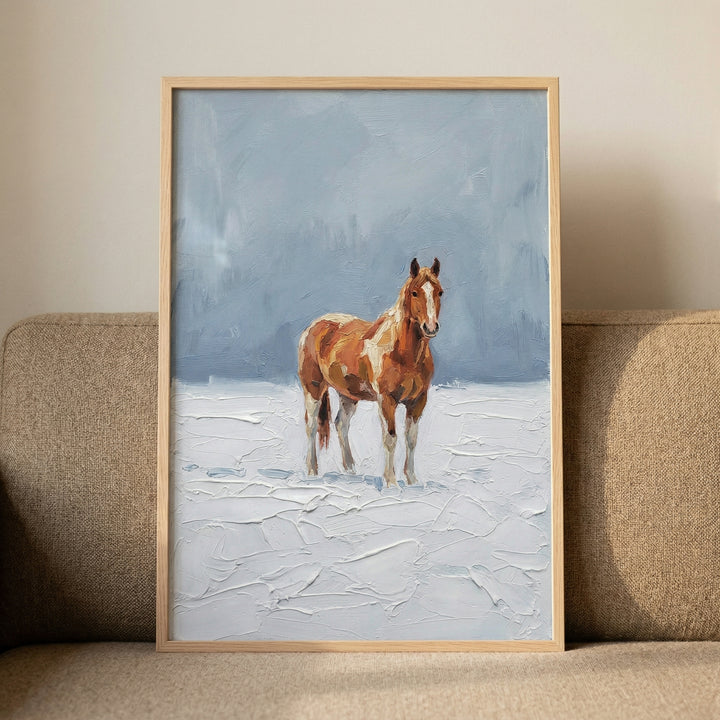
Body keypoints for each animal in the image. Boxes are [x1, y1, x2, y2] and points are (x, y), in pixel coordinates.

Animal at [298, 257, 442, 487]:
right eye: (414, 292)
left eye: (440, 292)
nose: (430, 327)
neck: (402, 352)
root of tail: (315, 325)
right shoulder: (386, 400)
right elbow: (390, 438)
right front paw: (391, 483)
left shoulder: (418, 400)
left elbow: (411, 439)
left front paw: (412, 481)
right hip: (313, 388)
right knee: (311, 426)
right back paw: (312, 471)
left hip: (348, 395)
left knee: (341, 425)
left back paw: (350, 470)